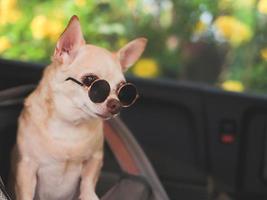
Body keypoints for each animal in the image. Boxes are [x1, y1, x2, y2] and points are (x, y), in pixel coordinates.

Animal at [11, 14, 148, 199]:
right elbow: (26, 193)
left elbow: (88, 182)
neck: (71, 124)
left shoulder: (95, 159)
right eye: (90, 80)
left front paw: (89, 195)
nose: (116, 104)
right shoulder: (26, 167)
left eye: (123, 90)